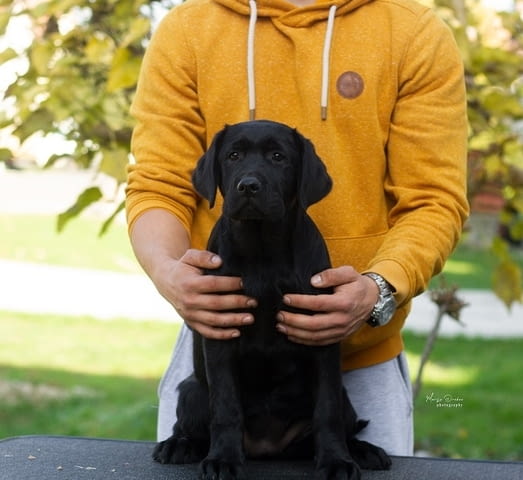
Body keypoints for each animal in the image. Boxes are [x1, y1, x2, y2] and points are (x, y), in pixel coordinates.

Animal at [154, 121, 390, 480]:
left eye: (278, 157)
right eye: (233, 156)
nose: (249, 186)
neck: (262, 249)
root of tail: (266, 447)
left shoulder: (322, 334)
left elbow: (327, 412)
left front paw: (337, 461)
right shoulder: (220, 331)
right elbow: (226, 408)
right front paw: (222, 459)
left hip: (344, 396)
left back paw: (362, 451)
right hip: (191, 392)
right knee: (194, 425)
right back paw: (179, 445)